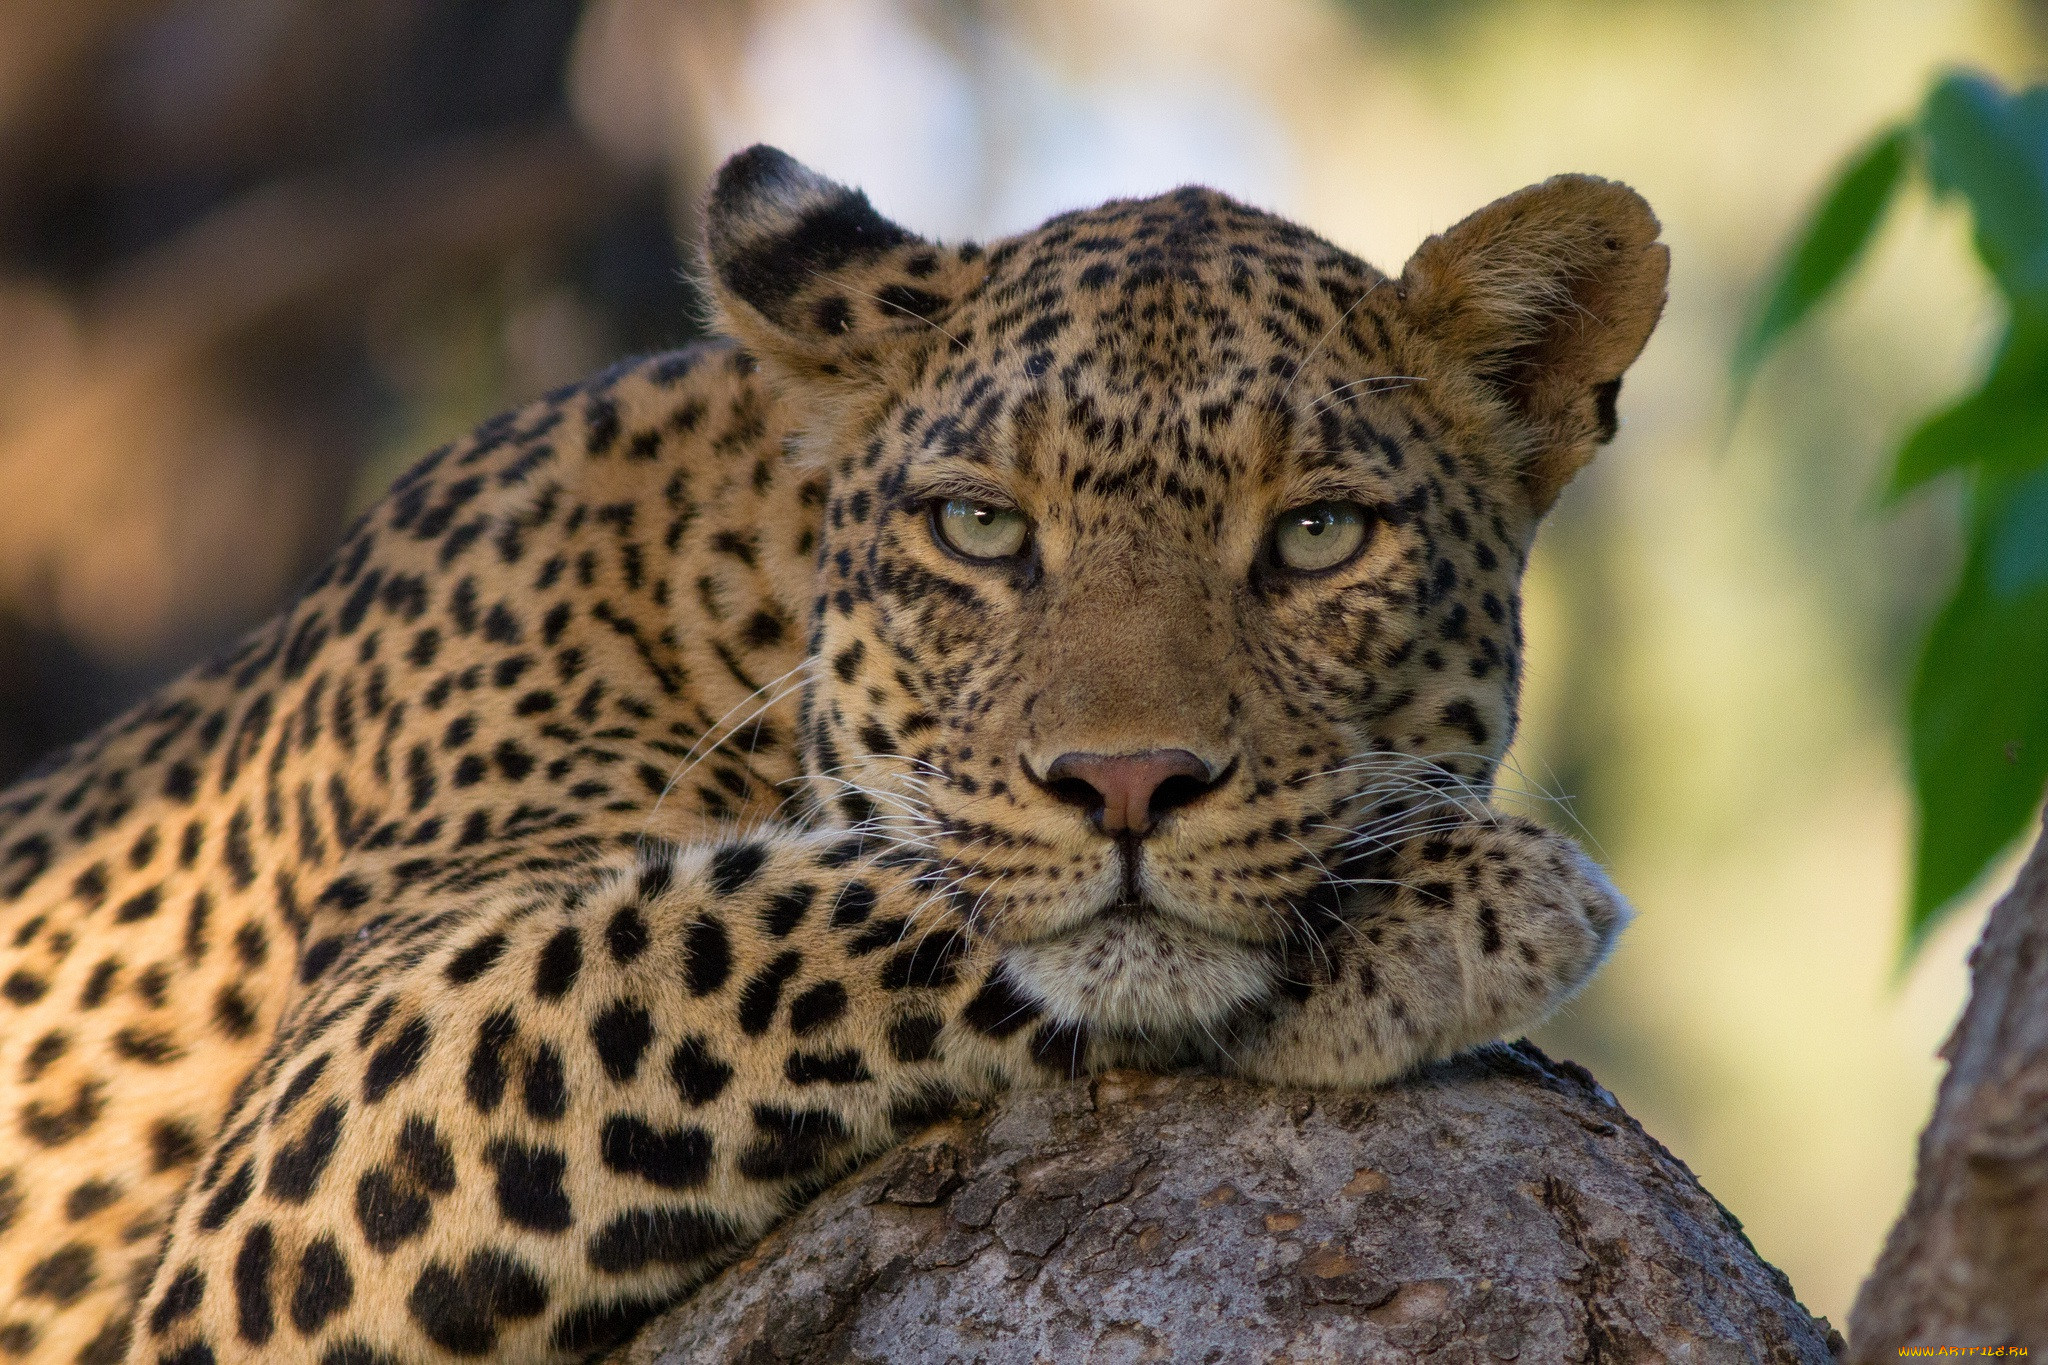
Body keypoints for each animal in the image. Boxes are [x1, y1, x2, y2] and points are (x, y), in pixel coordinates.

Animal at [0, 144, 1662, 1358]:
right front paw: (1451, 902)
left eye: (1319, 535)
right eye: (979, 525)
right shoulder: (306, 1132)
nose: (1129, 783)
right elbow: (753, 919)